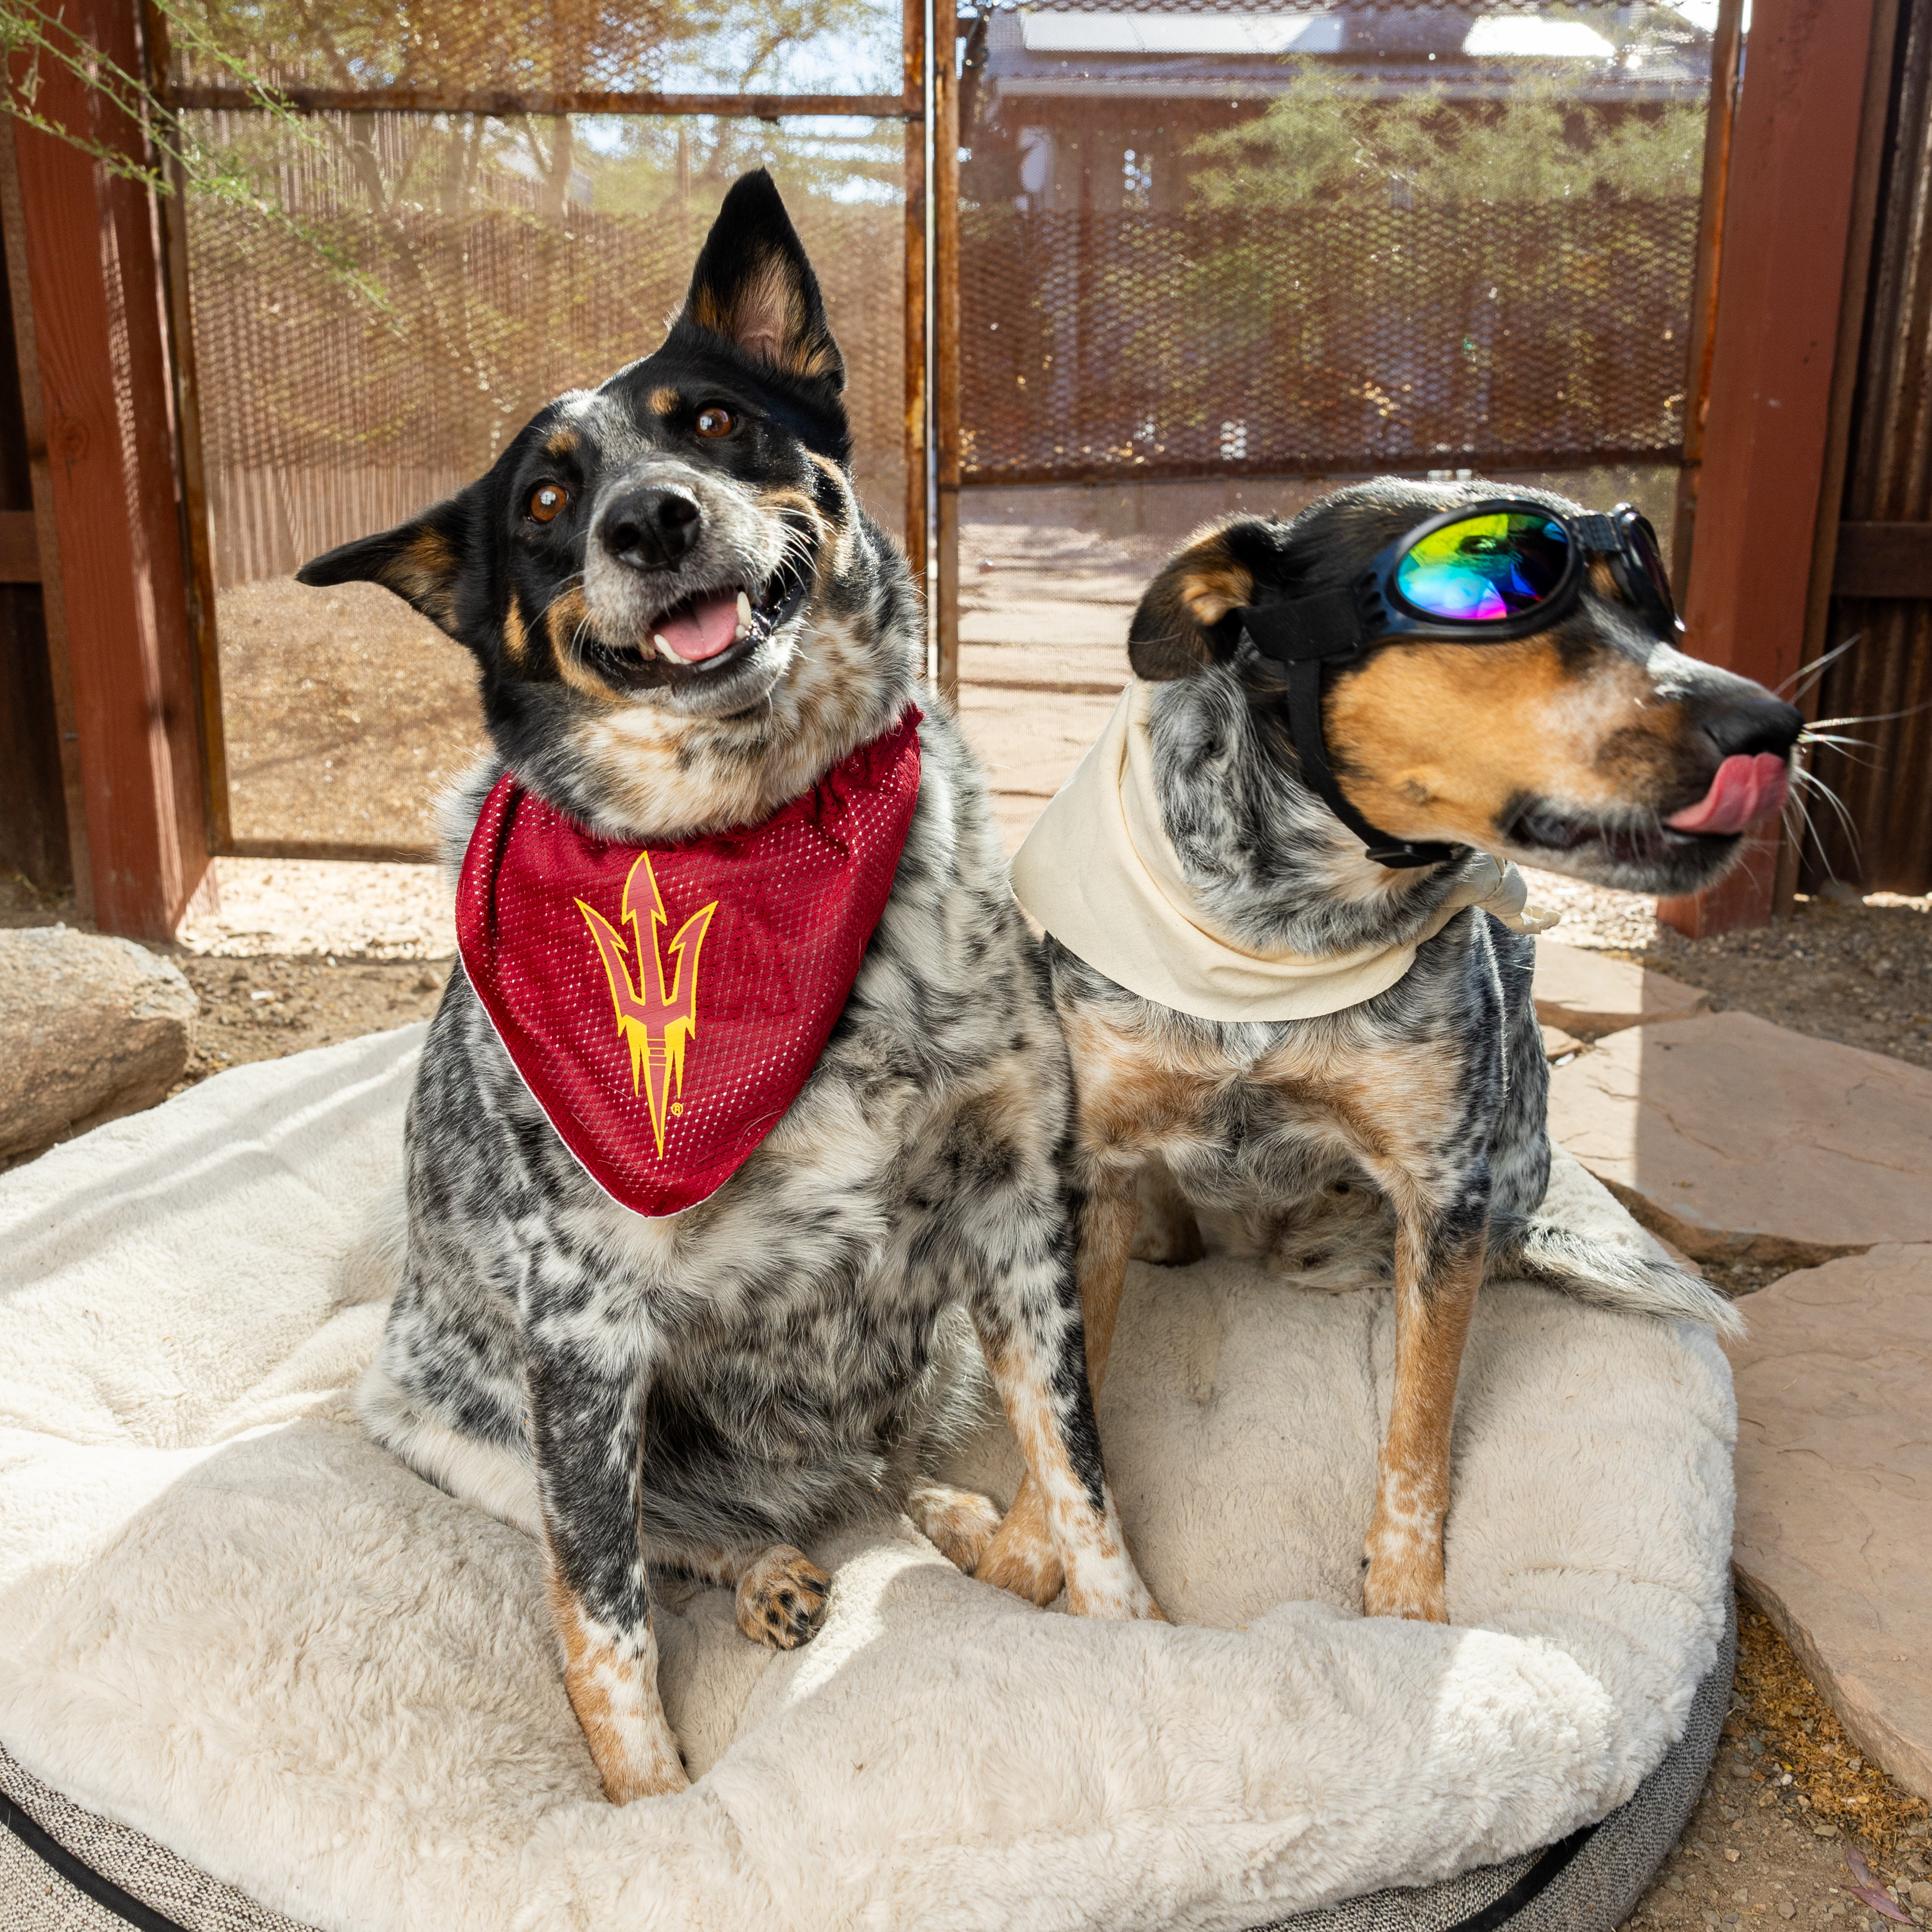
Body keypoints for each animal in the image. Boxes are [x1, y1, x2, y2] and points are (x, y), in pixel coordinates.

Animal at [989, 475, 1800, 1622]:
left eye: (1650, 604)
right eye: (1492, 590)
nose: (1776, 726)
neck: (1284, 939)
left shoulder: (1443, 1194)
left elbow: (1417, 1423)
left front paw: (1408, 1601)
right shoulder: (1092, 1171)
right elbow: (1067, 1408)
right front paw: (1026, 1551)